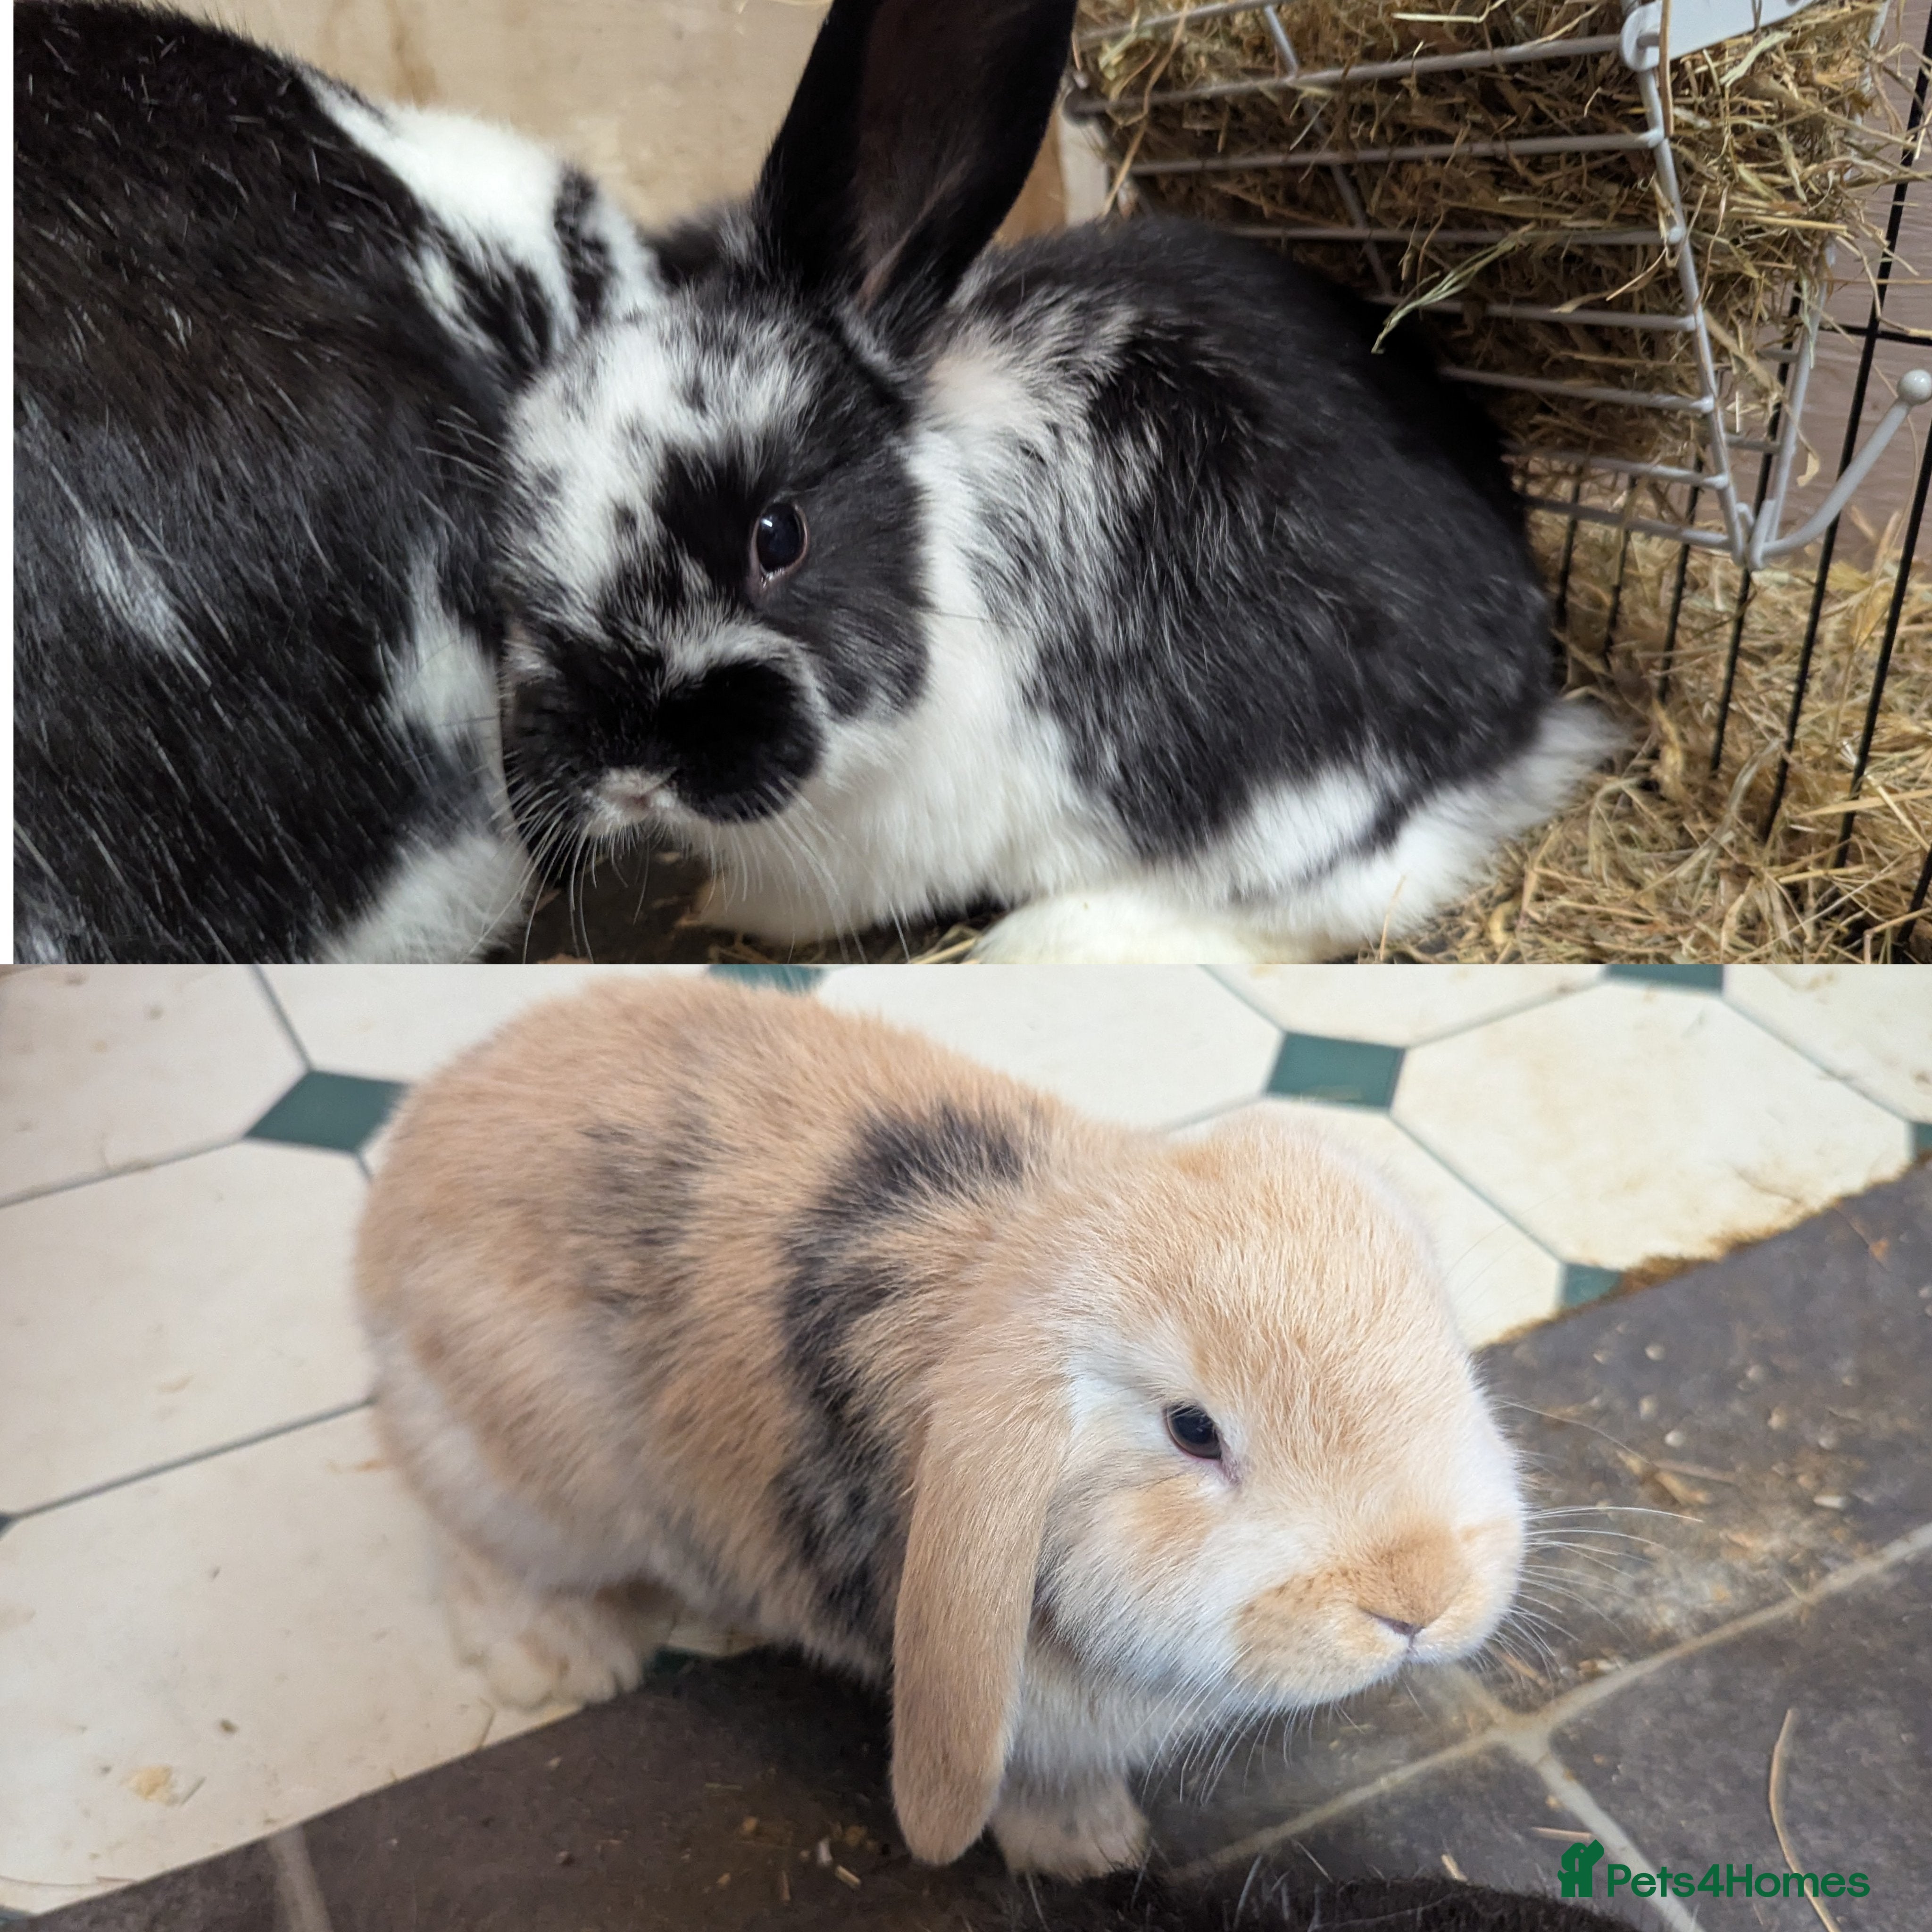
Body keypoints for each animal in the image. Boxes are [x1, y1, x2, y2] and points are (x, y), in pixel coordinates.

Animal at [355, 975, 1527, 1878]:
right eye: (1192, 1429)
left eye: (1440, 1333)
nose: (1418, 1597)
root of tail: (401, 1169)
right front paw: (1083, 1852)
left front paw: (1100, 1843)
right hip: (524, 1476)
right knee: (475, 1551)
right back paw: (563, 1660)